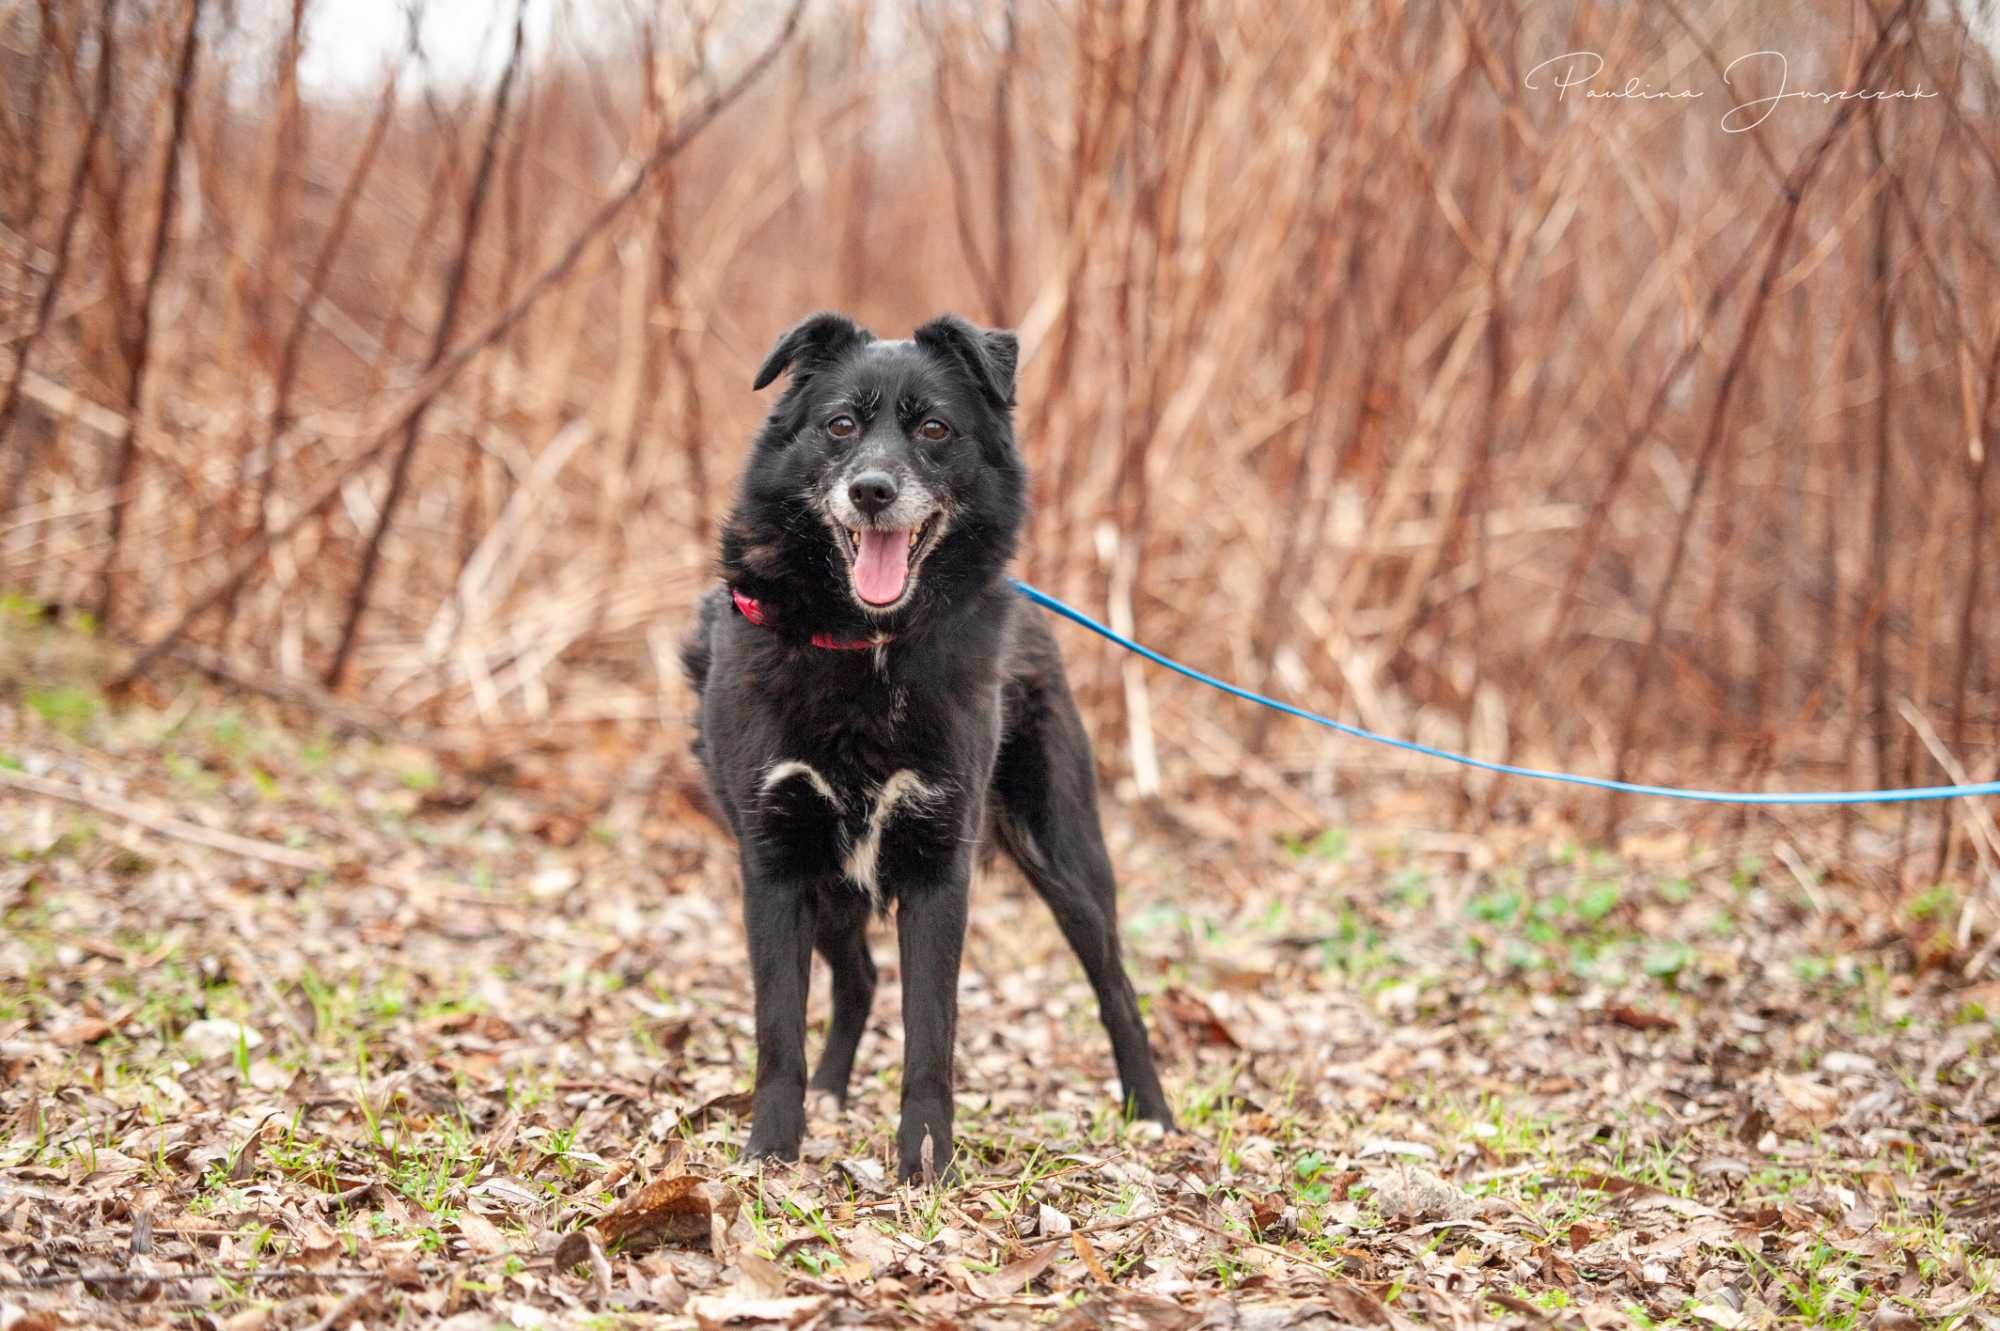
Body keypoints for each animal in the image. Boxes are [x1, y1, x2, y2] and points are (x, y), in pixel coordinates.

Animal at [684, 313, 1168, 1183]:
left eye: (935, 428)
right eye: (842, 424)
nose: (872, 490)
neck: (865, 644)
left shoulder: (942, 866)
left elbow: (931, 1037)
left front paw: (927, 1166)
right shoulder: (774, 864)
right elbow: (778, 1032)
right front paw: (771, 1152)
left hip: (1066, 857)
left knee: (1116, 985)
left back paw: (1153, 1114)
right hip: (828, 887)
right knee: (860, 978)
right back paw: (831, 1094)